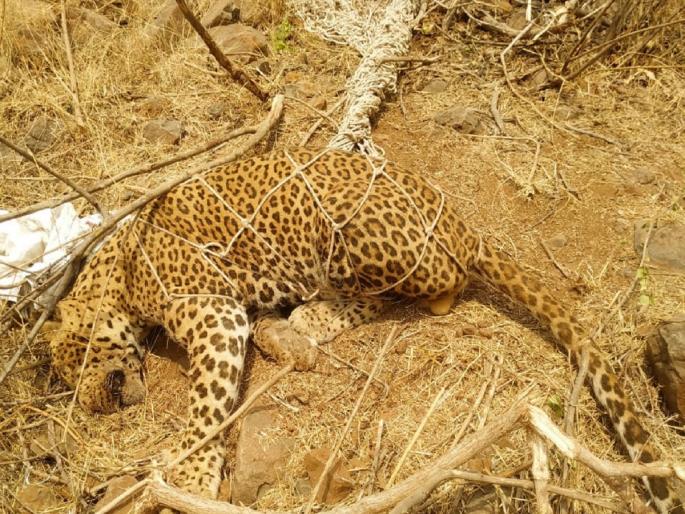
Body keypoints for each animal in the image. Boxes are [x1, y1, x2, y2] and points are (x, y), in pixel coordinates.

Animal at [47, 148, 683, 513]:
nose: (93, 404)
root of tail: (462, 226)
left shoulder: (214, 315)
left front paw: (192, 475)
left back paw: (310, 317)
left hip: (351, 234)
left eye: (73, 364)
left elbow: (205, 409)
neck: (115, 272)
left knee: (427, 295)